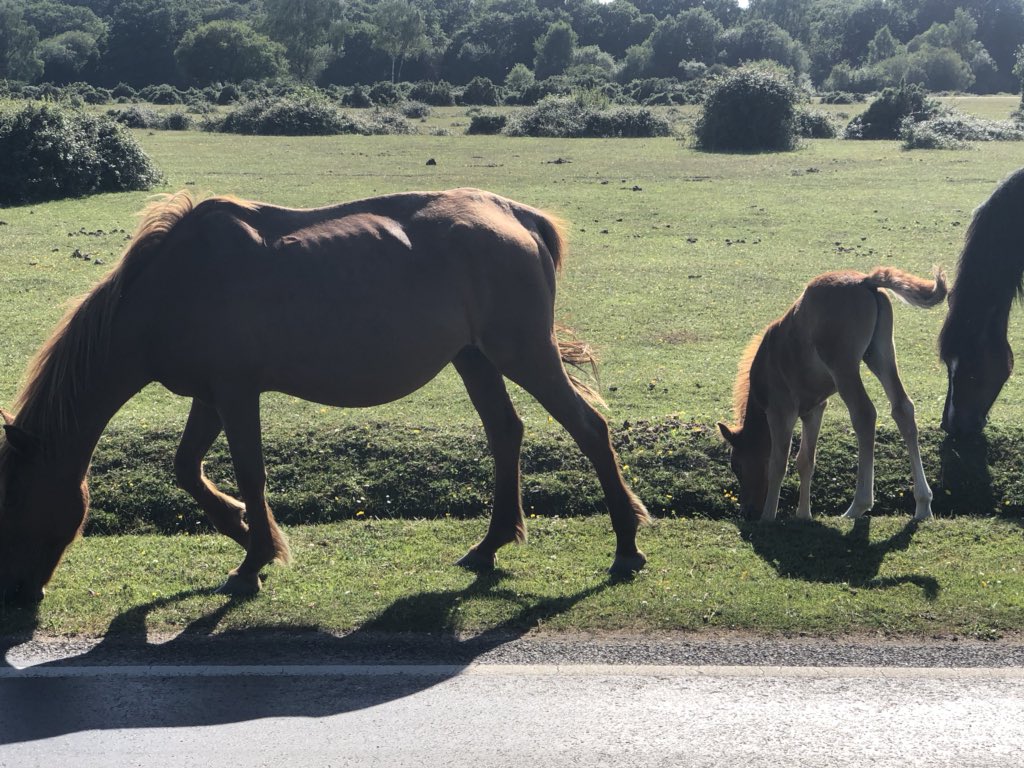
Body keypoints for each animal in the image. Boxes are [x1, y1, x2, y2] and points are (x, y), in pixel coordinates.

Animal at [0, 188, 650, 604]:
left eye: (13, 502)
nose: (17, 595)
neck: (171, 284)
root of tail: (515, 214)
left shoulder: (236, 393)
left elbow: (250, 472)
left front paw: (253, 560)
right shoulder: (209, 395)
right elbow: (187, 469)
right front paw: (245, 531)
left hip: (522, 354)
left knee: (589, 429)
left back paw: (626, 547)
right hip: (475, 359)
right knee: (505, 434)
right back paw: (490, 545)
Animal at [717, 267, 946, 522]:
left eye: (736, 466)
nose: (747, 511)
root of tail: (865, 281)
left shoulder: (780, 410)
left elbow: (778, 463)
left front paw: (768, 517)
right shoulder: (814, 409)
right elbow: (805, 460)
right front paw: (803, 515)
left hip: (843, 367)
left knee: (864, 414)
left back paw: (858, 505)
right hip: (880, 353)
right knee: (902, 408)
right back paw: (923, 504)